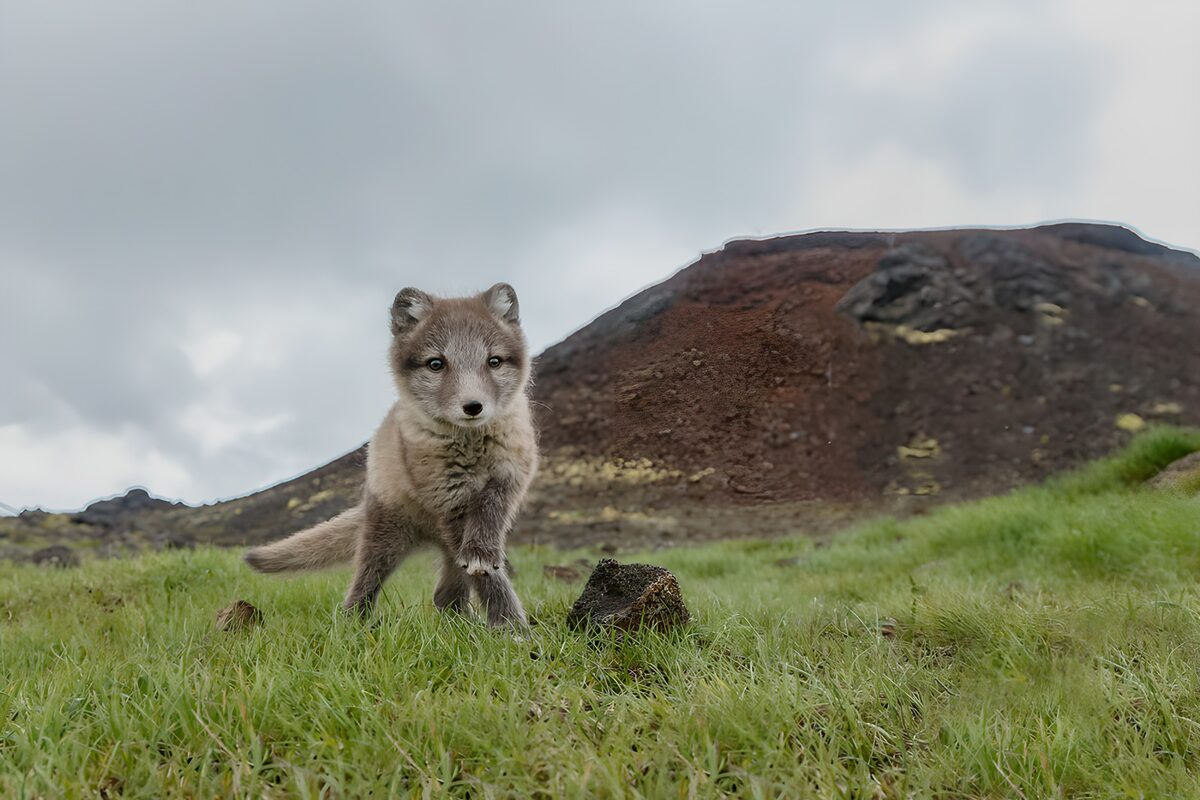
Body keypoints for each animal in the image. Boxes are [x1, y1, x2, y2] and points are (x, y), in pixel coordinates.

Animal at [243, 283, 538, 627]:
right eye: (436, 364)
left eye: (494, 361)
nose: (473, 406)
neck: (470, 449)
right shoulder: (448, 499)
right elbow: (487, 576)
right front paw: (510, 626)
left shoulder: (510, 476)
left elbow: (489, 517)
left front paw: (504, 614)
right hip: (384, 539)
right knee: (364, 585)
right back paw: (355, 624)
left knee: (444, 594)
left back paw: (460, 623)